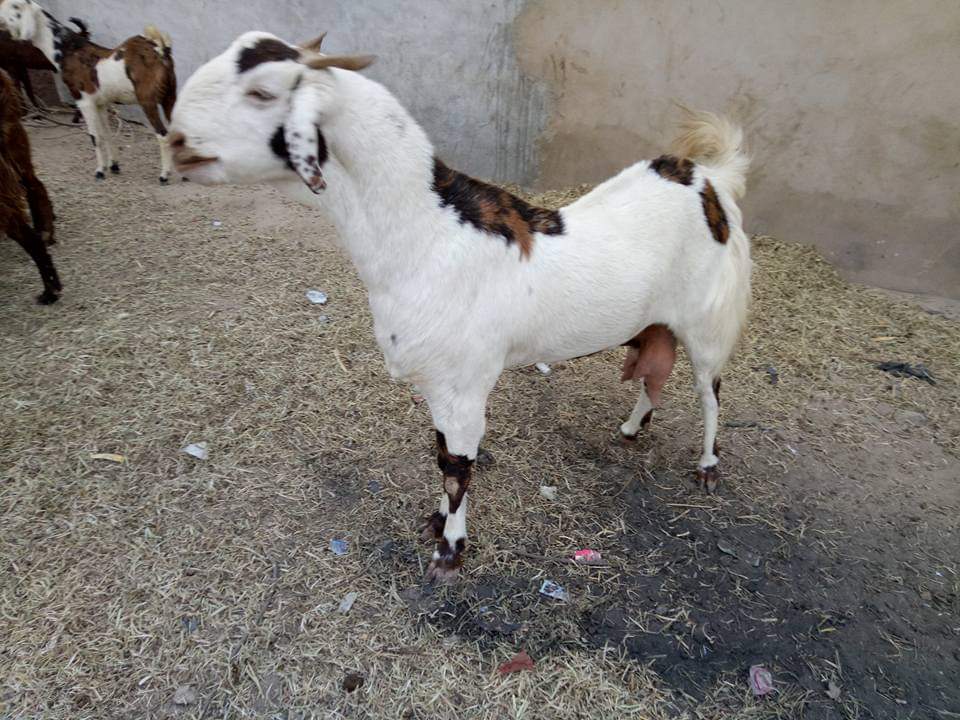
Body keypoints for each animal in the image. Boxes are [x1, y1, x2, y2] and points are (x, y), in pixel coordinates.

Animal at [0, 0, 177, 183]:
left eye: (13, 7)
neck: (68, 51)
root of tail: (161, 50)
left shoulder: (83, 100)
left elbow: (94, 137)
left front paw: (99, 171)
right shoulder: (101, 103)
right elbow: (106, 133)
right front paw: (114, 165)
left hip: (147, 100)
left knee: (163, 134)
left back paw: (164, 175)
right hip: (170, 95)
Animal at [169, 33, 752, 581]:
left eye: (263, 92)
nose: (174, 143)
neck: (430, 234)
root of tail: (712, 183)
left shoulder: (464, 386)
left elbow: (458, 468)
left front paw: (449, 551)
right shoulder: (438, 387)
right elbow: (442, 455)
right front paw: (435, 523)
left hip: (707, 324)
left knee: (710, 392)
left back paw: (708, 466)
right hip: (656, 322)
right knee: (654, 375)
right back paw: (632, 428)